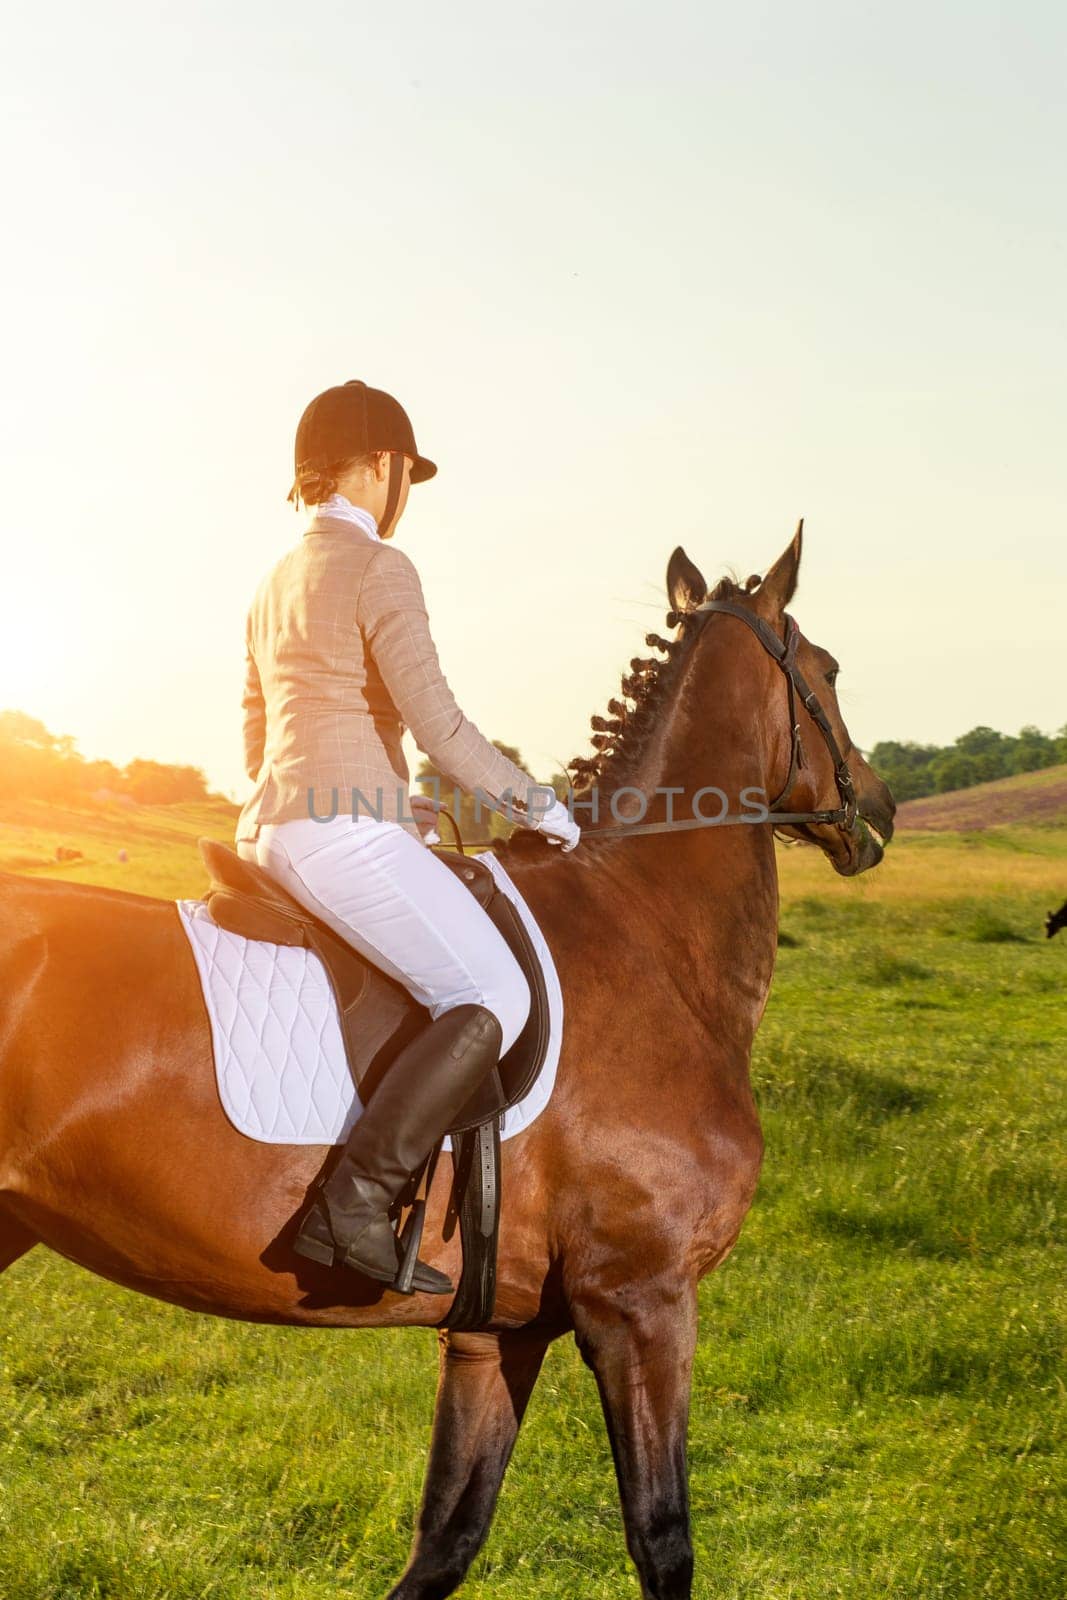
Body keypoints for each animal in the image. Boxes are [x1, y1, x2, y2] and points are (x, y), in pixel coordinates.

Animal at [0, 531, 895, 1593]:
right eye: (827, 670)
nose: (878, 811)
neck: (642, 926)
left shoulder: (493, 1331)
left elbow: (447, 1536)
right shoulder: (641, 1303)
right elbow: (661, 1535)